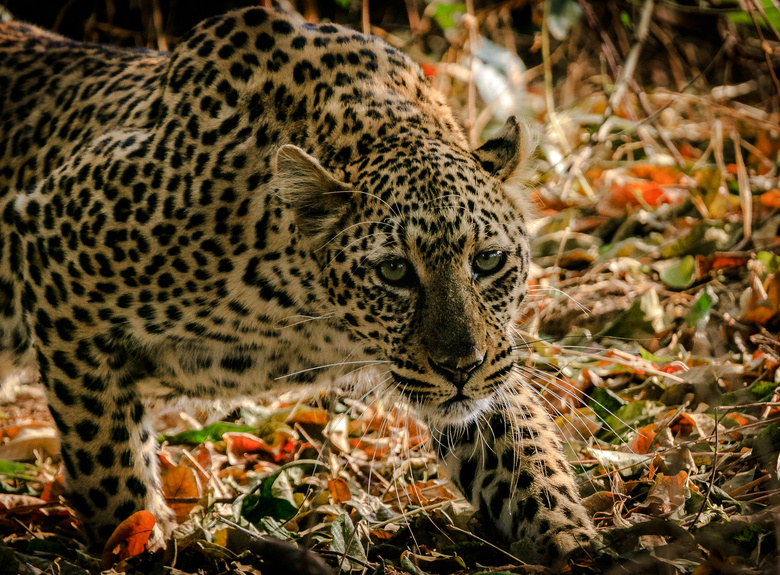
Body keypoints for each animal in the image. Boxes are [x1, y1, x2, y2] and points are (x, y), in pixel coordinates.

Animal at [0, 6, 596, 568]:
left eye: (488, 260)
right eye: (395, 271)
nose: (460, 368)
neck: (314, 310)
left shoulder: (489, 365)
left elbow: (525, 460)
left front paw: (575, 544)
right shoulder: (55, 247)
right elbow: (108, 456)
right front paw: (138, 545)